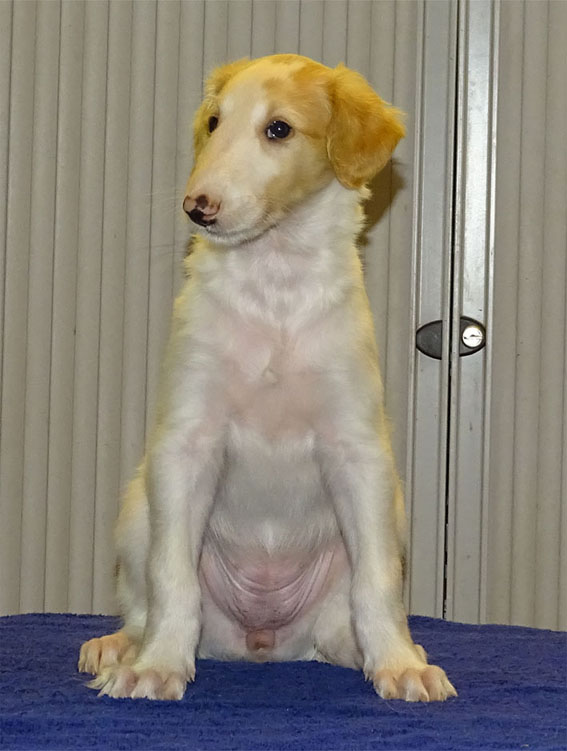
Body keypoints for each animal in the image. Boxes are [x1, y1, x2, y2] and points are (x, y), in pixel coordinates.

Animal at [78, 54, 456, 703]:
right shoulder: (186, 443)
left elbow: (378, 581)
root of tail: (263, 642)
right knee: (144, 601)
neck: (274, 286)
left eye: (278, 129)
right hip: (137, 508)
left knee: (343, 617)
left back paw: (374, 651)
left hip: (390, 518)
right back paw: (123, 645)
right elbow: (171, 575)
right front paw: (157, 665)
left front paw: (398, 664)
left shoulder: (358, 450)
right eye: (213, 121)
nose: (197, 205)